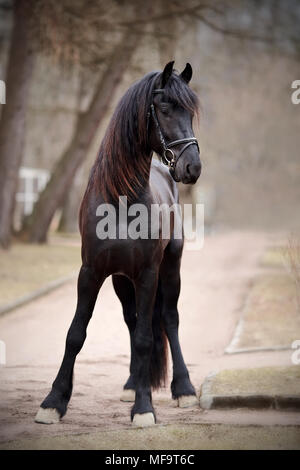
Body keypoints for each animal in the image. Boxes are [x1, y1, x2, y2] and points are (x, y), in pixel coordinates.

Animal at [36, 60, 203, 428]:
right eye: (165, 108)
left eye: (191, 112)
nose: (192, 167)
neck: (122, 202)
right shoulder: (91, 272)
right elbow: (76, 334)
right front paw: (53, 402)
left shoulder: (148, 274)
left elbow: (145, 338)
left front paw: (143, 409)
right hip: (120, 280)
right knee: (132, 319)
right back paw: (131, 384)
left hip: (171, 267)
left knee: (168, 319)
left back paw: (183, 388)